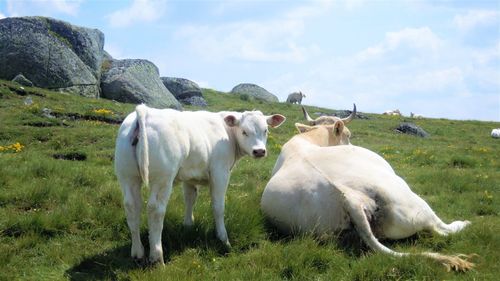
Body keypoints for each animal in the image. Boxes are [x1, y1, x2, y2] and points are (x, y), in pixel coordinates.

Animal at [114, 104, 286, 264]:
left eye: (265, 130)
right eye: (244, 131)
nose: (259, 151)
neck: (227, 133)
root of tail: (146, 110)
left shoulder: (189, 176)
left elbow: (190, 199)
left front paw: (188, 226)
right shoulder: (220, 172)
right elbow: (218, 207)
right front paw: (223, 239)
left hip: (127, 176)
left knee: (132, 207)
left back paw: (138, 252)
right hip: (163, 178)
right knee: (155, 209)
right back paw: (157, 257)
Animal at [262, 122, 476, 270]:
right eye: (348, 135)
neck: (305, 142)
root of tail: (351, 198)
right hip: (415, 205)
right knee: (441, 230)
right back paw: (464, 223)